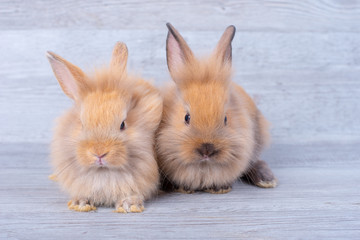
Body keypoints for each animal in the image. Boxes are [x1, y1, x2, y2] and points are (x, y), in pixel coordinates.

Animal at [46, 42, 162, 213]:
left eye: (123, 124)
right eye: (82, 124)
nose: (99, 153)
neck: (103, 172)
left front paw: (129, 205)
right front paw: (80, 203)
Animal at [156, 23, 278, 194]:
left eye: (226, 119)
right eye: (187, 118)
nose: (207, 150)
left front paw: (220, 188)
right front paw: (183, 188)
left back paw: (266, 179)